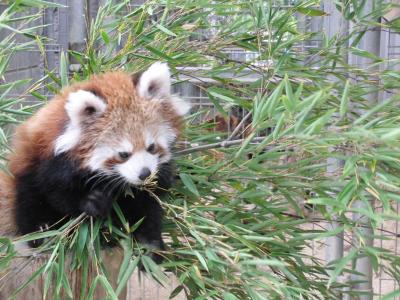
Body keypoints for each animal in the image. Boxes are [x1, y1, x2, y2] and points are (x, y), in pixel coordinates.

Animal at [0, 62, 191, 255]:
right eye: (123, 154)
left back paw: (150, 245)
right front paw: (91, 202)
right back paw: (42, 234)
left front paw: (161, 177)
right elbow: (56, 194)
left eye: (151, 147)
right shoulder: (52, 162)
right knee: (30, 203)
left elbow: (151, 197)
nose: (144, 174)